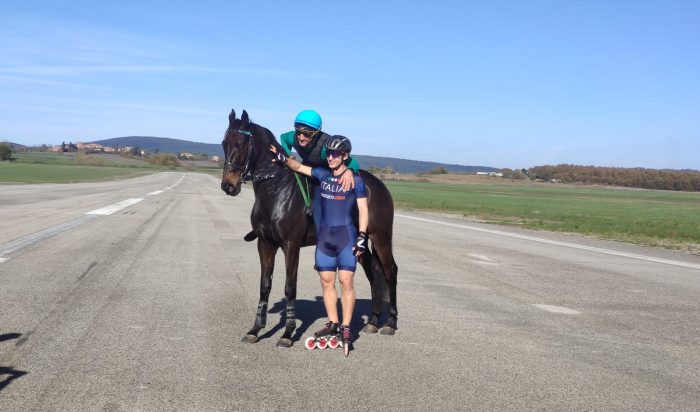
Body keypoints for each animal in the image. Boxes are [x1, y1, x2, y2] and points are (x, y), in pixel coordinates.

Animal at [221, 109, 398, 347]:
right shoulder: (265, 244)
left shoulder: (291, 245)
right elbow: (265, 285)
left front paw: (287, 333)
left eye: (241, 143)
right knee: (374, 272)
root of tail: (378, 184)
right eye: (224, 143)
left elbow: (290, 287)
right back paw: (373, 320)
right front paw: (256, 329)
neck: (275, 191)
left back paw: (390, 322)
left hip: (381, 237)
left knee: (390, 271)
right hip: (359, 245)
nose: (228, 185)